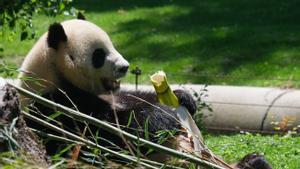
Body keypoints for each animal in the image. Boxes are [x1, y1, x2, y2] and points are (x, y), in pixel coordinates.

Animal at [17, 14, 274, 169]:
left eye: (112, 45)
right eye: (99, 54)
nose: (124, 67)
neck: (52, 73)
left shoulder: (113, 94)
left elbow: (135, 99)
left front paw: (183, 98)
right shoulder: (55, 105)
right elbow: (111, 133)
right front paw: (165, 116)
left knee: (252, 163)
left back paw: (253, 161)